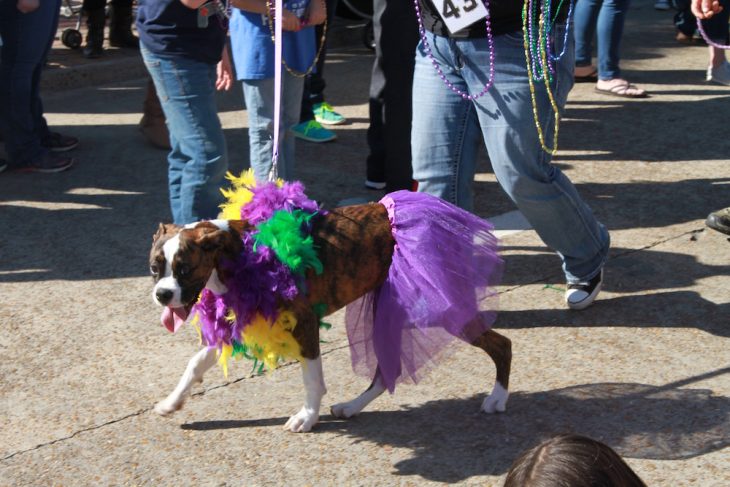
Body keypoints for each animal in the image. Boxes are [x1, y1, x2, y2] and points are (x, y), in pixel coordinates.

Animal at [151, 204, 510, 432]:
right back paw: (352, 406)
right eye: (155, 267)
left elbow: (312, 379)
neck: (235, 254)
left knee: (502, 345)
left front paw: (307, 417)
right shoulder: (236, 322)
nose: (162, 294)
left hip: (445, 308)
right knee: (384, 373)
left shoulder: (305, 326)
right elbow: (195, 364)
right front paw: (172, 401)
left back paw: (497, 397)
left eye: (184, 269)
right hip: (387, 311)